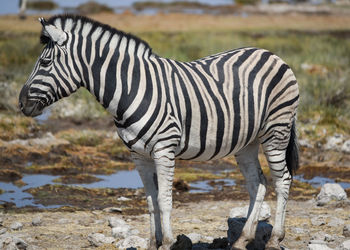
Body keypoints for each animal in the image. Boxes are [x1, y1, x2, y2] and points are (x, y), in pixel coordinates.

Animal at [19, 15, 298, 250]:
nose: (21, 103)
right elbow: (151, 202)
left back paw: (275, 239)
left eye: (45, 62)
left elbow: (164, 200)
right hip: (246, 142)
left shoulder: (164, 149)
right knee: (257, 184)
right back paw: (242, 239)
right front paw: (153, 243)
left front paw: (168, 243)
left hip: (276, 131)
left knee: (282, 180)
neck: (131, 89)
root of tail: (271, 54)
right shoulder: (138, 155)